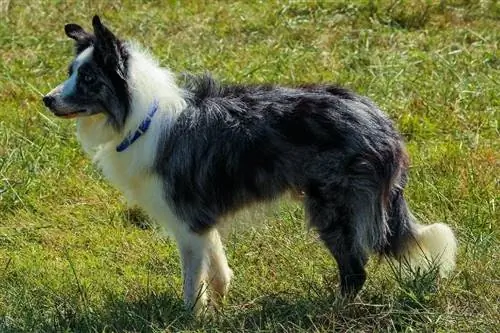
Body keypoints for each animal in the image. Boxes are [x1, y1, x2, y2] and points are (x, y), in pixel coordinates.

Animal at [43, 14, 458, 312]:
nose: (46, 99)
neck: (139, 115)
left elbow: (191, 281)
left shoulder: (185, 218)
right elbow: (217, 263)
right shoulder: (200, 220)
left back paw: (333, 309)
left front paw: (190, 317)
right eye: (70, 73)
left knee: (355, 270)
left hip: (334, 210)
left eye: (88, 77)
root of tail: (382, 123)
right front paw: (219, 302)